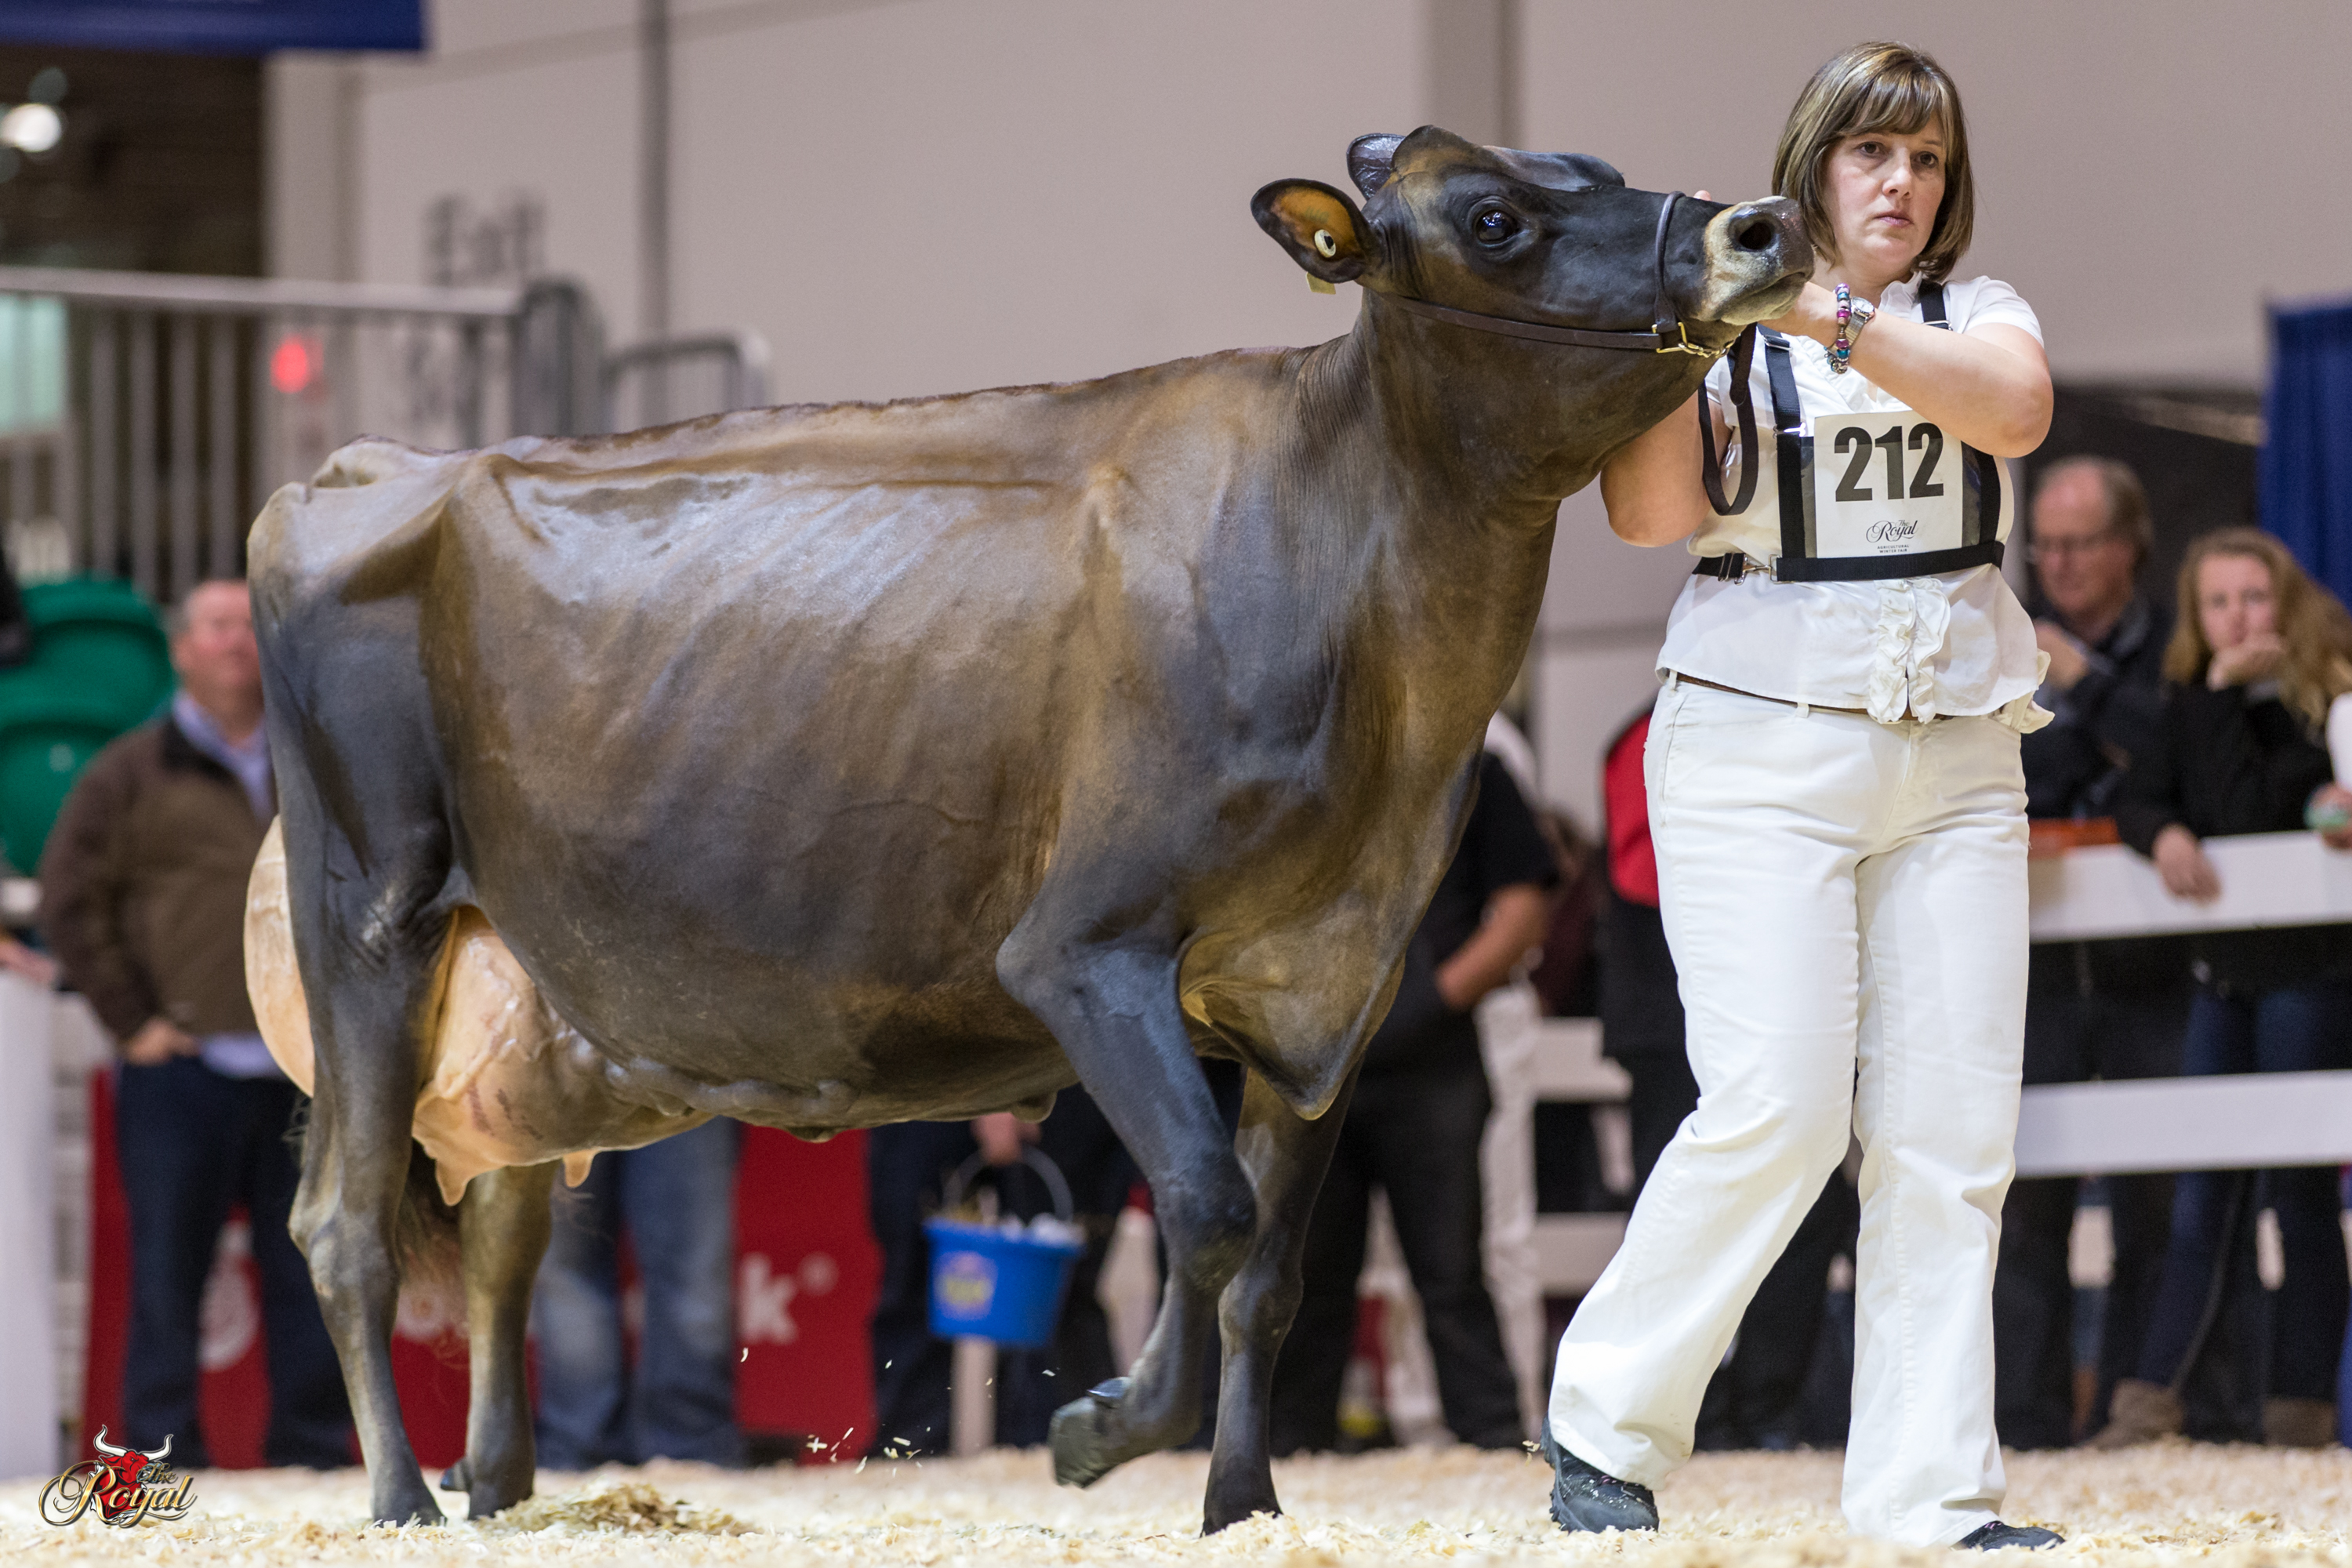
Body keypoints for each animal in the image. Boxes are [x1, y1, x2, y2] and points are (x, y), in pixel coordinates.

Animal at [246, 125, 1805, 1533]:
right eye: (1494, 220)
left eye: (1595, 170)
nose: (1761, 225)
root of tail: (367, 471)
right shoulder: (1085, 952)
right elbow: (1208, 1210)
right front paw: (1098, 1429)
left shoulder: (1324, 995)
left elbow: (1272, 1273)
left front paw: (1242, 1507)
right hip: (368, 918)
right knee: (343, 1227)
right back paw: (401, 1501)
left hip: (512, 987)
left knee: (503, 1231)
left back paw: (496, 1489)